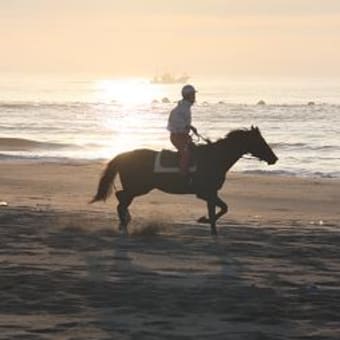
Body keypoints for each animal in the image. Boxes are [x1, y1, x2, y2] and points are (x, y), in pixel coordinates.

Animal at [91, 126, 278, 235]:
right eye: (260, 141)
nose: (274, 158)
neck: (215, 158)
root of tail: (123, 155)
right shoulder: (206, 193)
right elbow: (223, 208)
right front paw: (205, 221)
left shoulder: (210, 194)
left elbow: (218, 210)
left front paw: (210, 226)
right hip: (139, 187)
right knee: (121, 199)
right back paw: (124, 223)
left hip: (138, 188)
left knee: (121, 199)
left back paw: (125, 221)